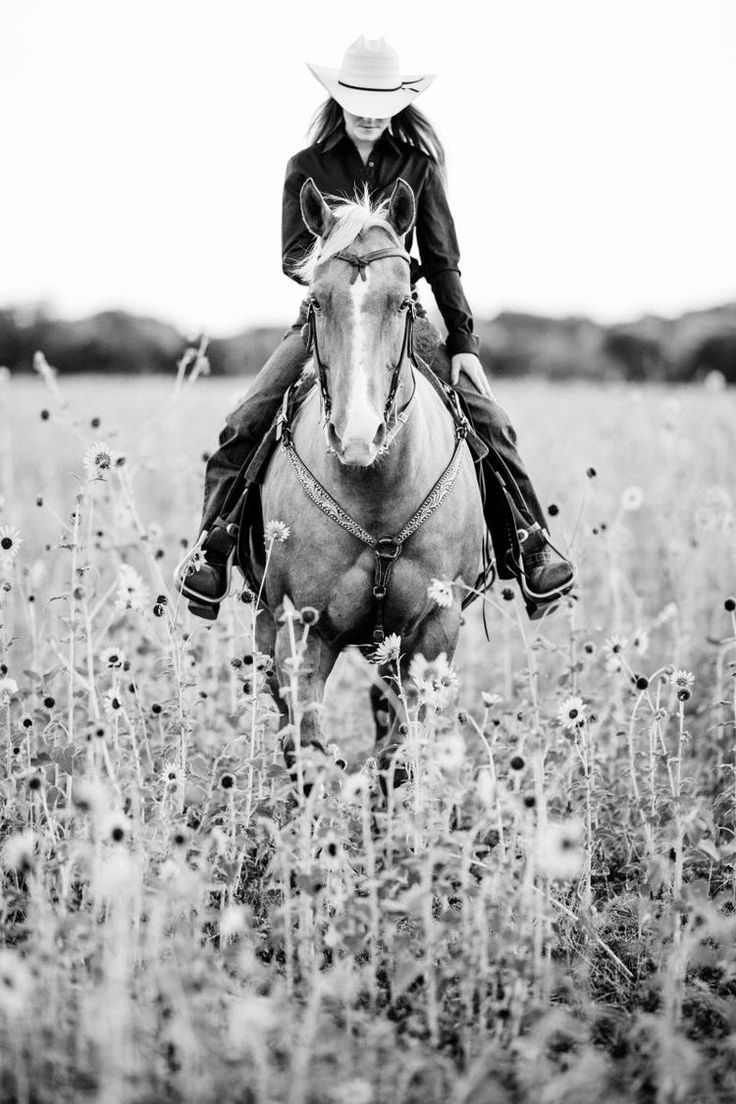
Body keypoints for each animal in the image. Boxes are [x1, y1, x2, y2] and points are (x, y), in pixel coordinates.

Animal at [250, 178, 485, 777]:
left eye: (403, 302)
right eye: (316, 300)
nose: (357, 438)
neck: (375, 494)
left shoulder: (433, 632)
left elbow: (398, 757)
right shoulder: (301, 630)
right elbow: (307, 750)